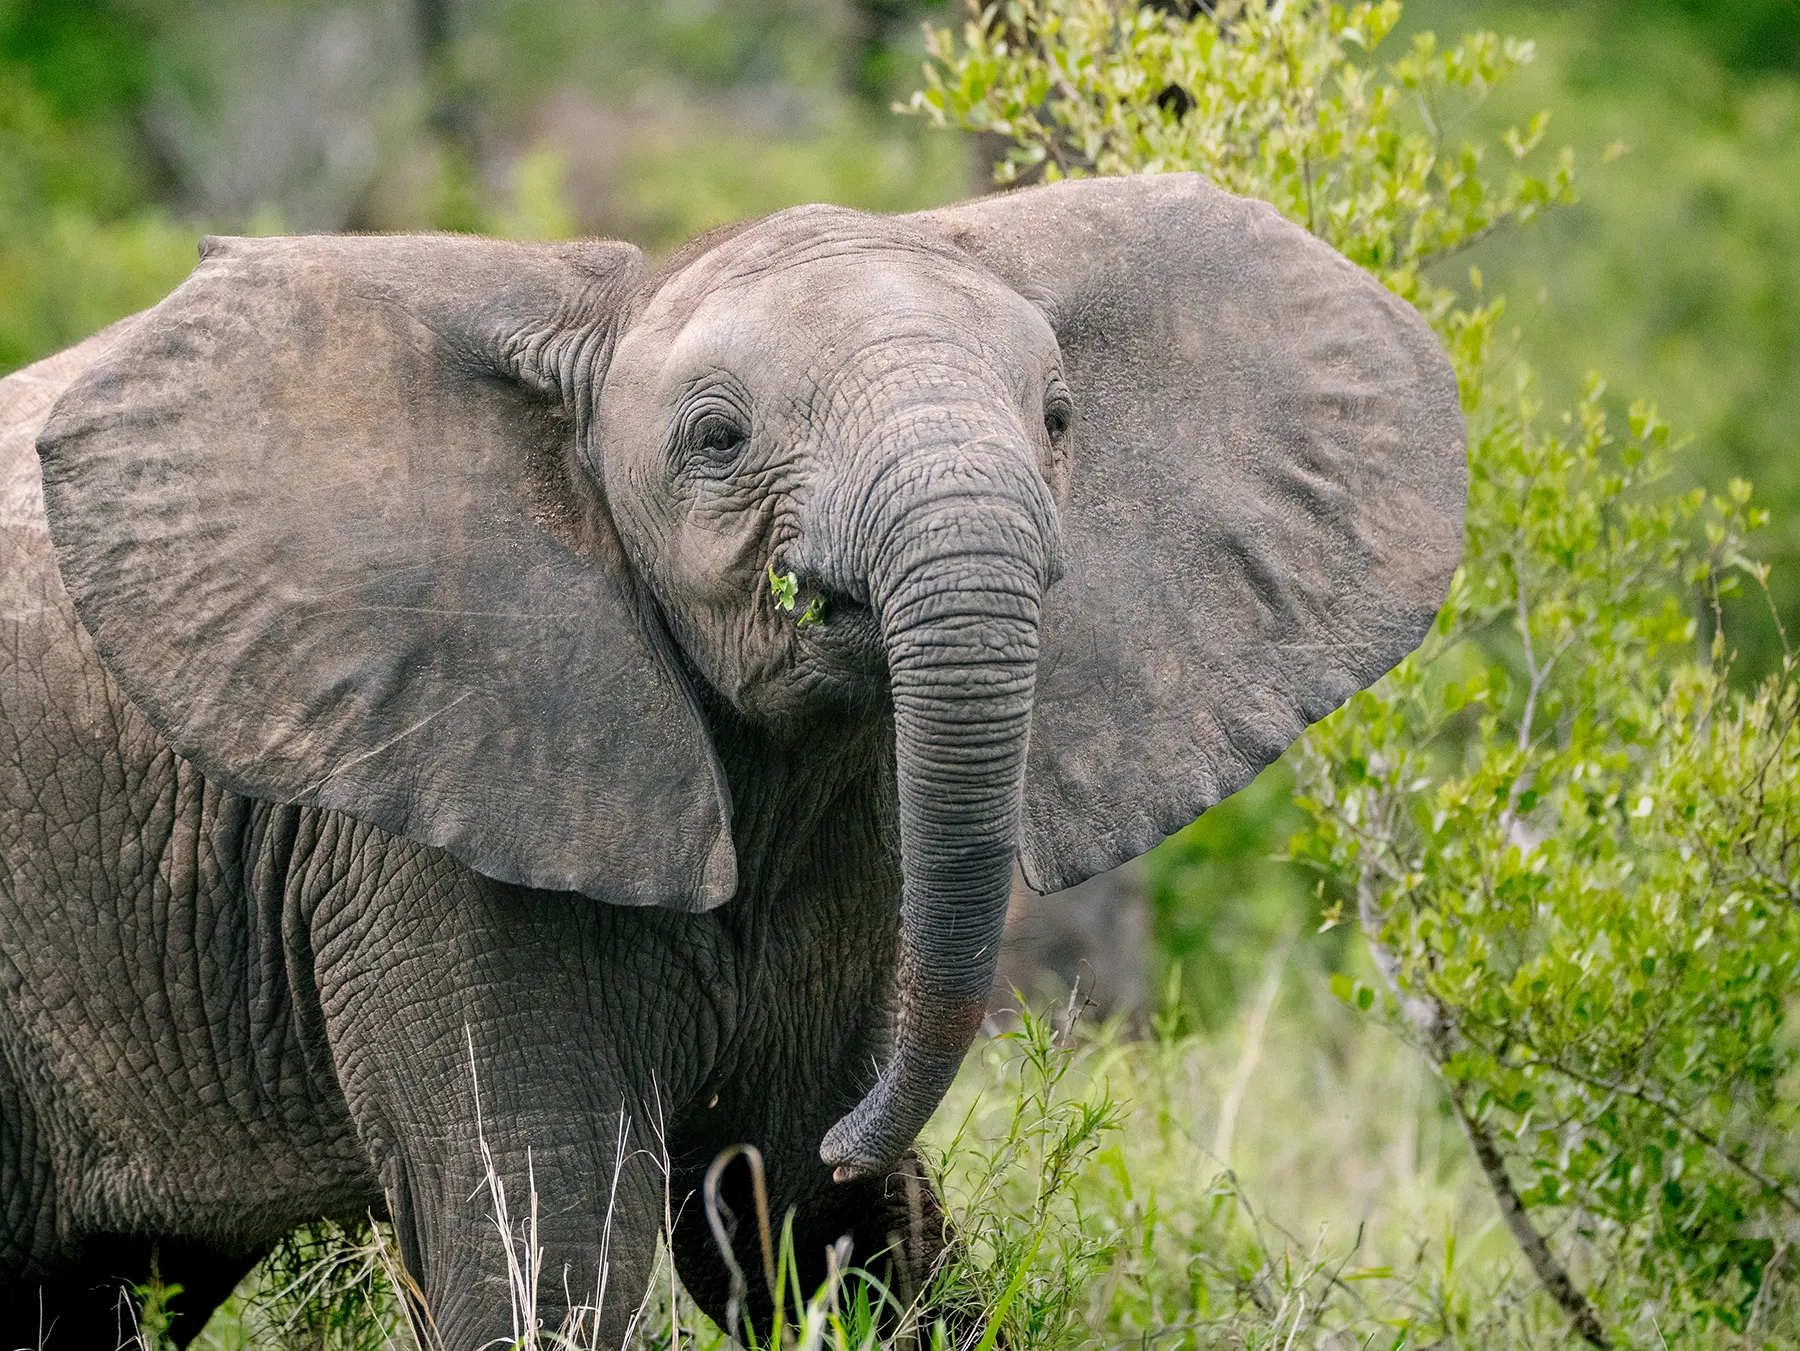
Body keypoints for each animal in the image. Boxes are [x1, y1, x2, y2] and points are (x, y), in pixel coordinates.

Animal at [0, 172, 1464, 1347]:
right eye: (717, 439)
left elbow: (805, 1241)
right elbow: (551, 1241)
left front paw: (813, 1174)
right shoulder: (411, 834)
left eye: (1058, 418)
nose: (870, 1133)